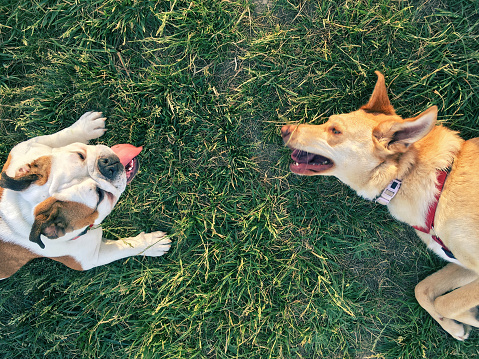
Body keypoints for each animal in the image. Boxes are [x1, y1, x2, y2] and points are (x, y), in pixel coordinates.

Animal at [0, 111, 172, 280]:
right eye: (99, 196)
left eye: (79, 155)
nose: (107, 166)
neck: (21, 208)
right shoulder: (89, 258)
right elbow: (124, 247)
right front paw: (151, 243)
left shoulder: (24, 149)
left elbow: (56, 137)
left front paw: (86, 127)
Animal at [282, 71, 479, 342]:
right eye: (329, 123)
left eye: (335, 130)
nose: (284, 129)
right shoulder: (465, 266)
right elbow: (424, 290)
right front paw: (460, 323)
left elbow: (445, 302)